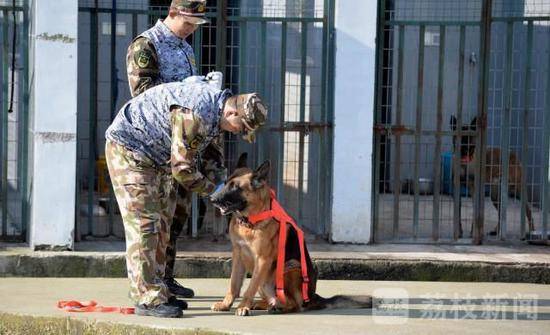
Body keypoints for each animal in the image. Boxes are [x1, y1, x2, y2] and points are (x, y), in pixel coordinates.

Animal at [209, 155, 374, 318]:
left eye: (235, 187)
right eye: (225, 183)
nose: (212, 199)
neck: (250, 221)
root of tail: (312, 297)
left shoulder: (262, 260)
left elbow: (250, 288)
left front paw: (243, 306)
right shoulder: (238, 256)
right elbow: (233, 285)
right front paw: (226, 304)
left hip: (290, 267)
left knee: (293, 304)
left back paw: (278, 308)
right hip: (267, 278)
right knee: (274, 298)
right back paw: (265, 304)